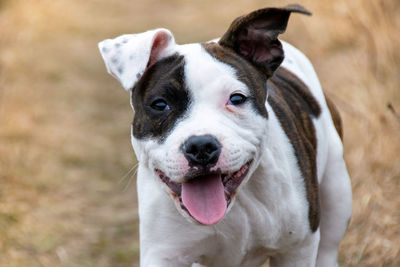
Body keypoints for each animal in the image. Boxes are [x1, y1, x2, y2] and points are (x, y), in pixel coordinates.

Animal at [99, 3, 350, 266]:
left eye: (237, 98)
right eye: (160, 105)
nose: (200, 146)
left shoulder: (295, 250)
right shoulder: (164, 254)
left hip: (337, 190)